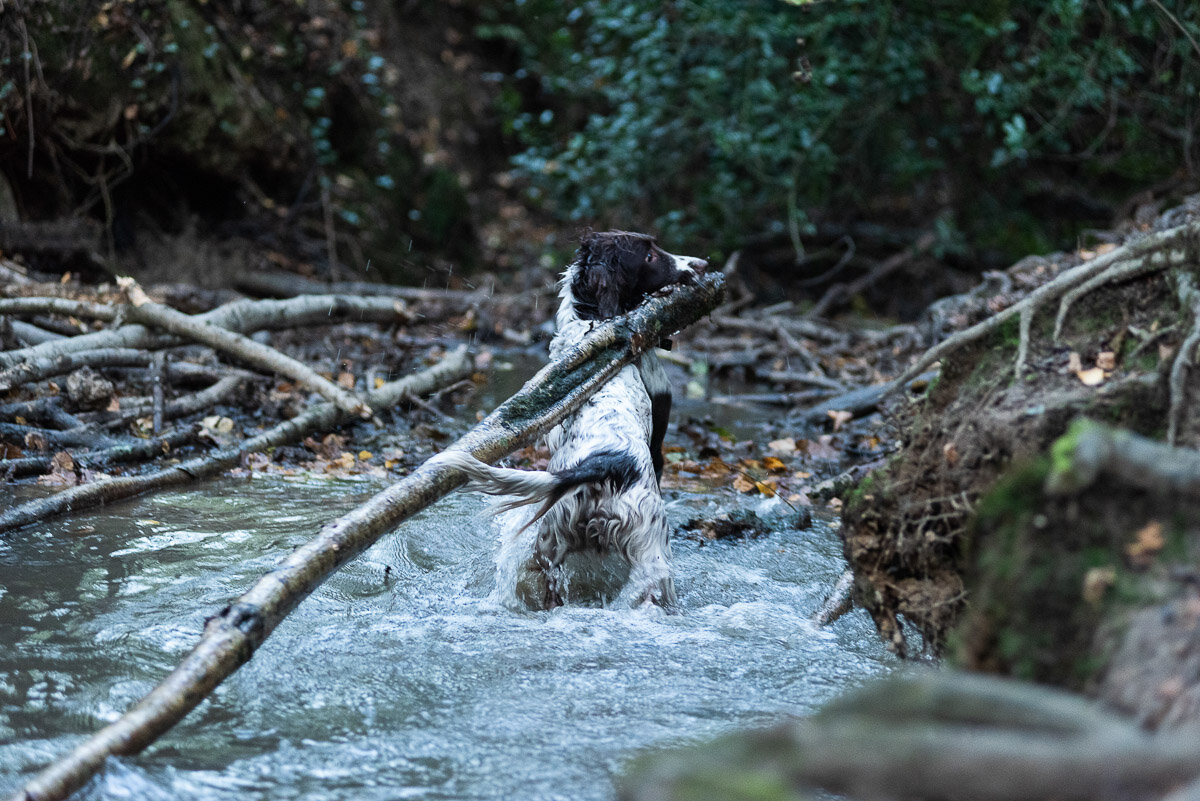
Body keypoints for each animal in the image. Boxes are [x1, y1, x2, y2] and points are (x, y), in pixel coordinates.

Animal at [436, 230, 705, 606]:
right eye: (650, 255)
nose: (701, 264)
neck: (589, 324)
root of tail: (604, 466)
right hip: (652, 554)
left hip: (550, 544)